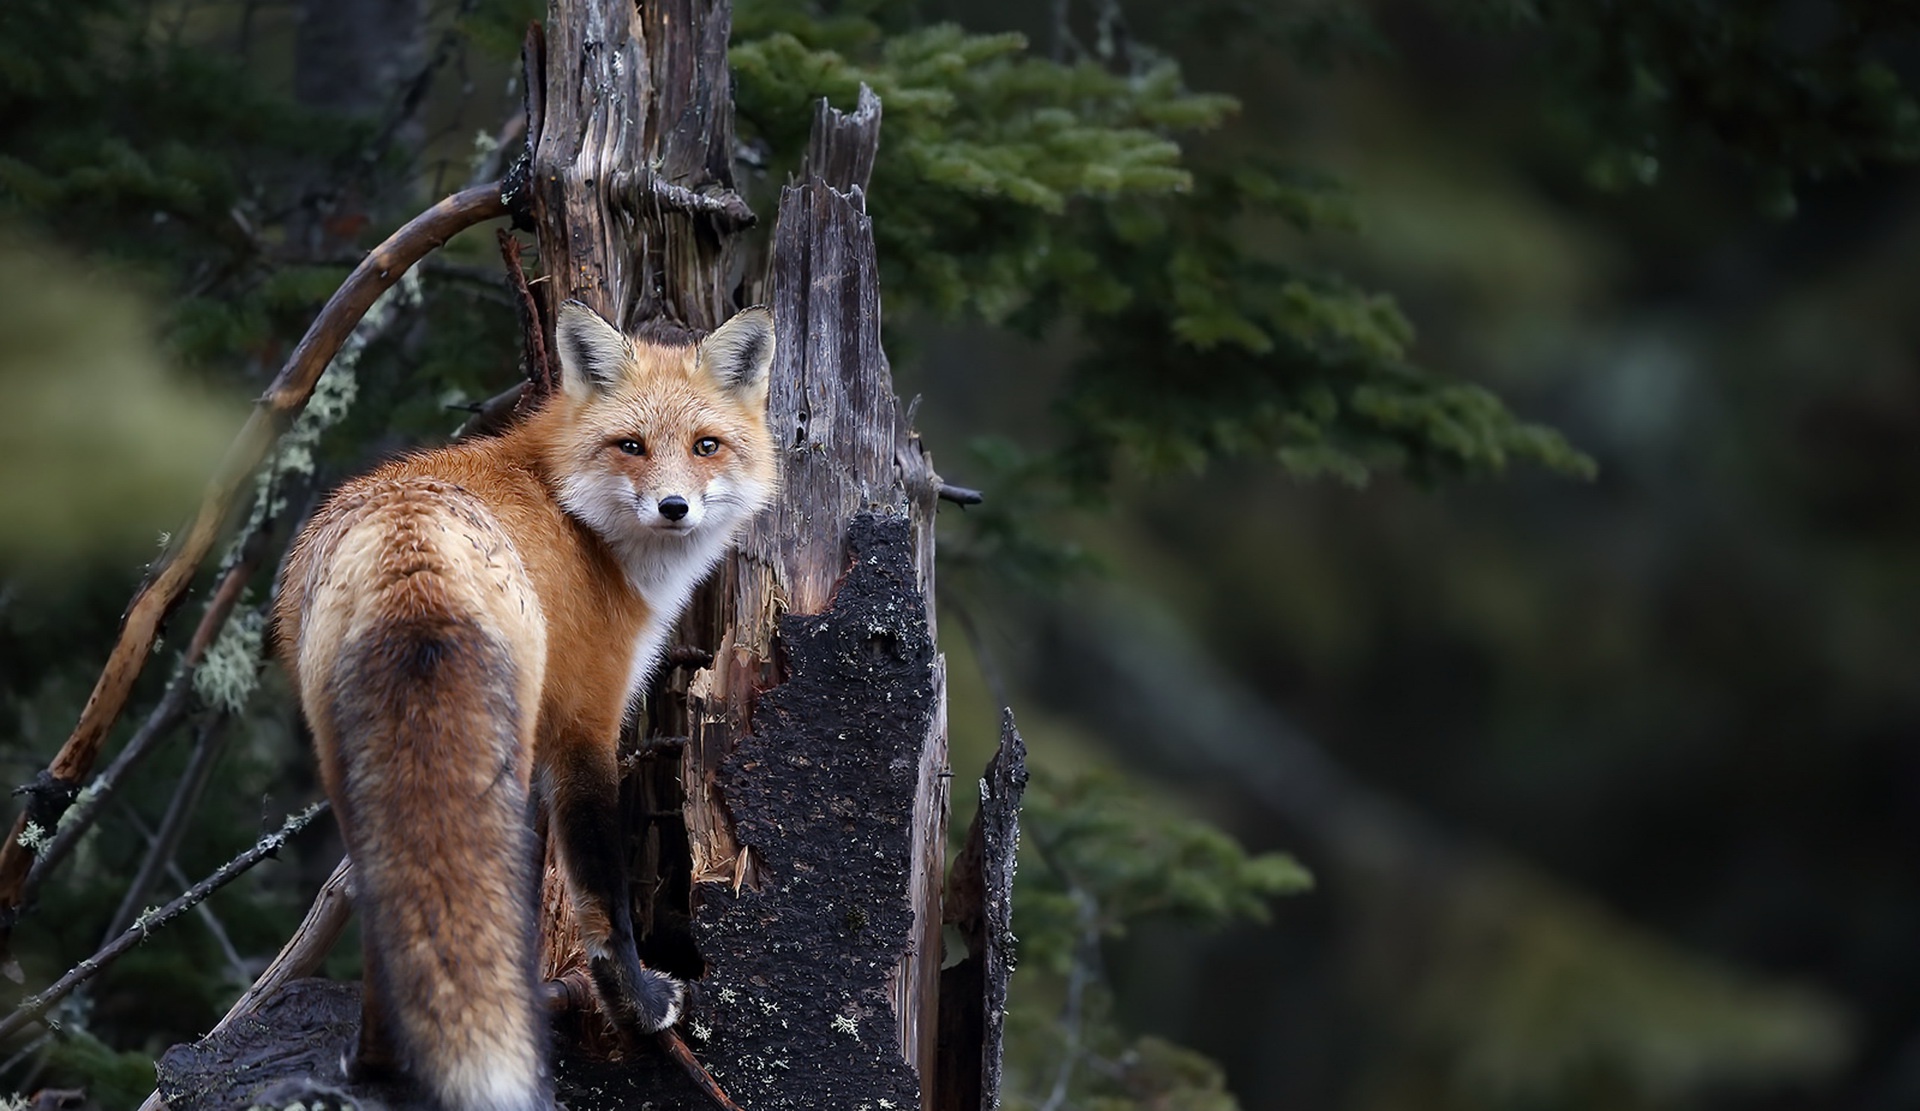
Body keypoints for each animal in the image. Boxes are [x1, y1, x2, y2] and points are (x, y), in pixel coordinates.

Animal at [272, 301, 779, 1111]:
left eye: (707, 446)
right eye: (631, 446)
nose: (675, 507)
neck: (577, 518)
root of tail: (410, 544)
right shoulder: (585, 724)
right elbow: (602, 892)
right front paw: (637, 1004)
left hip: (347, 763)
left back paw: (379, 1062)